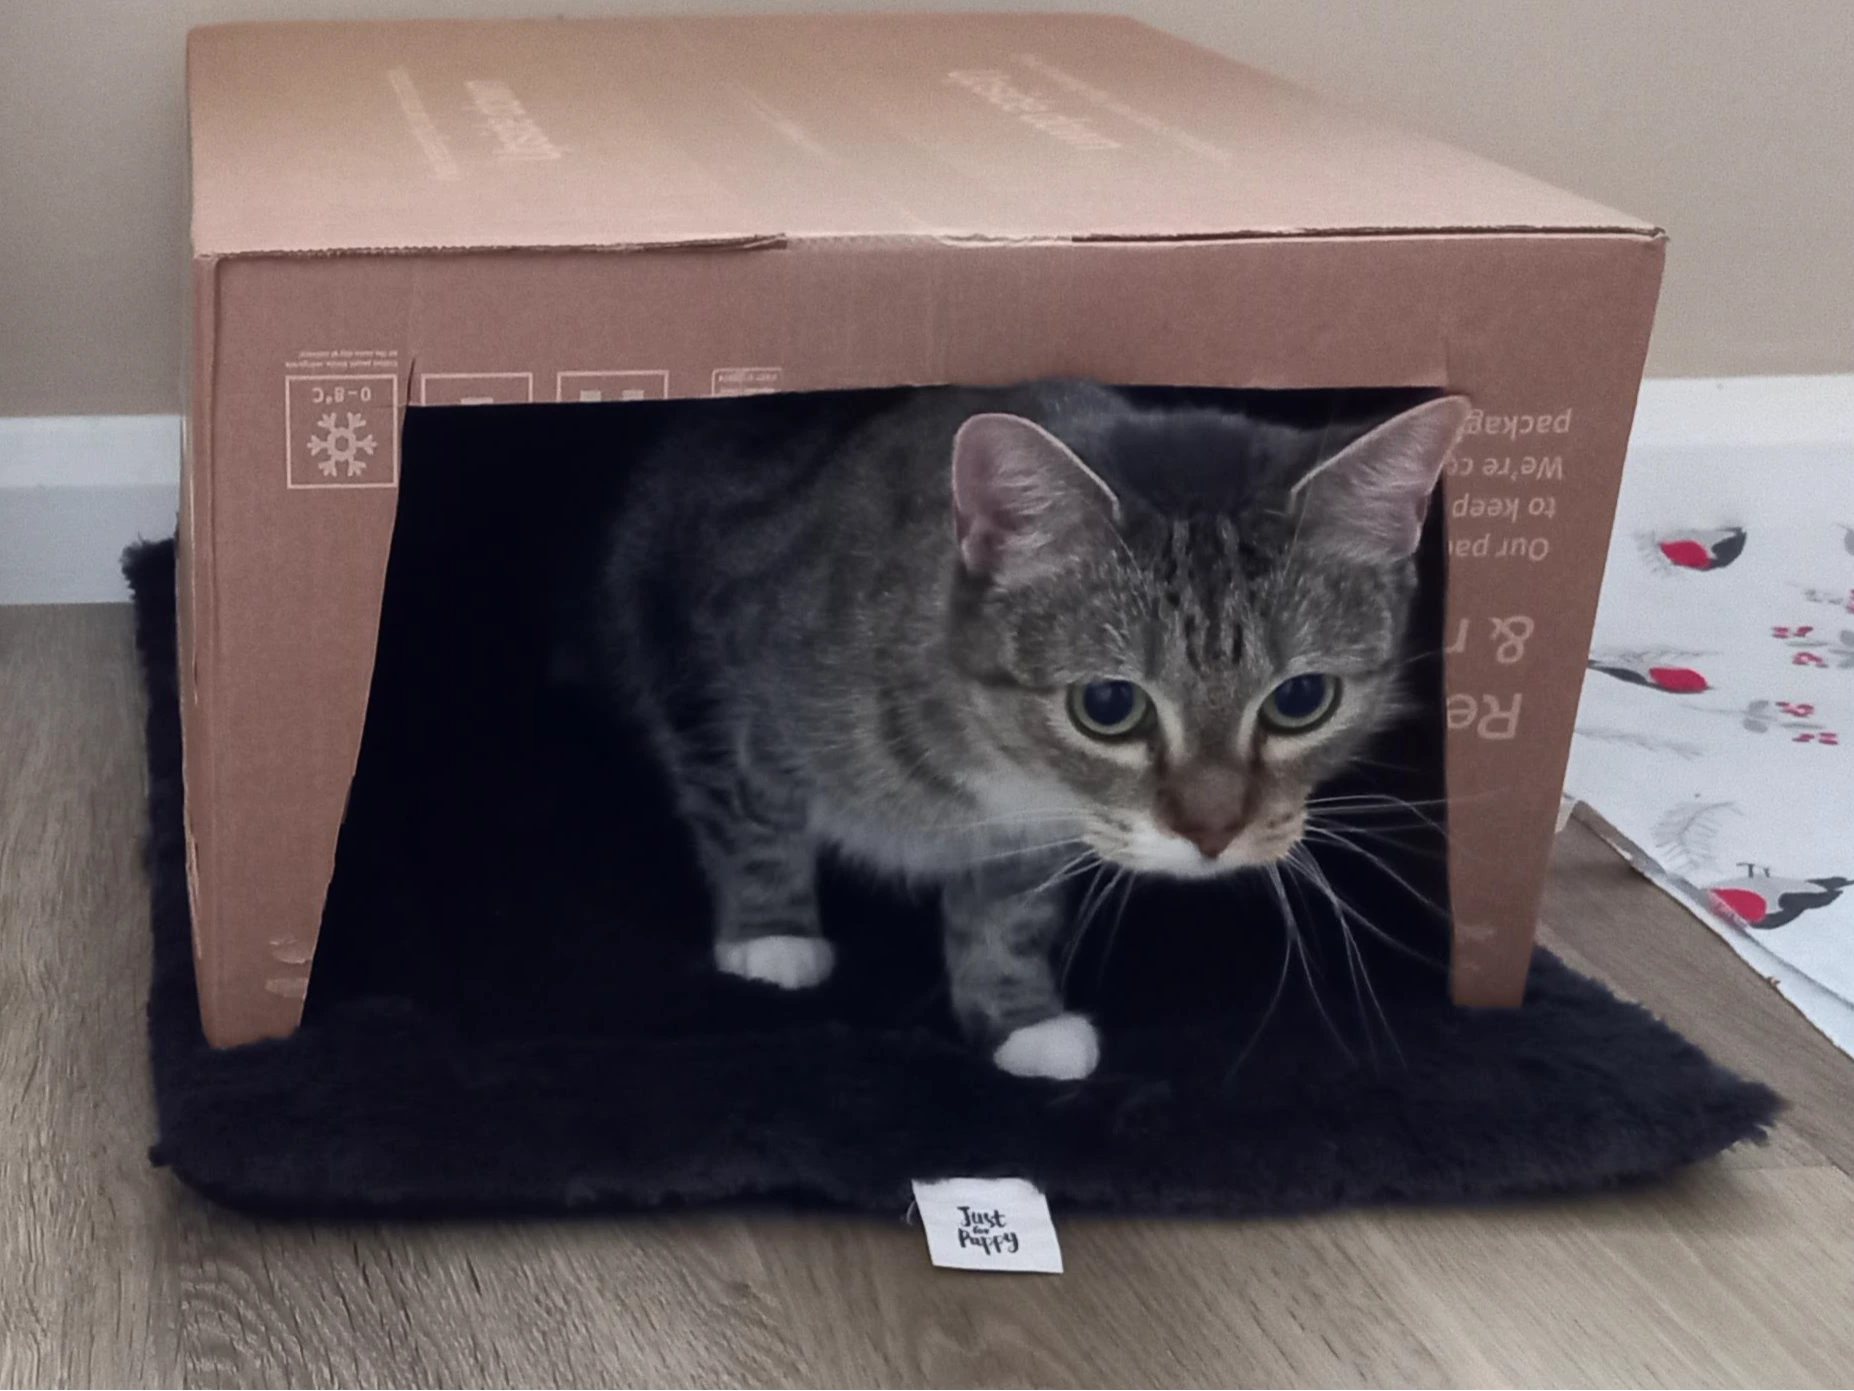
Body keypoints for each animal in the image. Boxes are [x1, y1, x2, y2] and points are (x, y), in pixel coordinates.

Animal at [600, 383, 1468, 1090]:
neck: (989, 760)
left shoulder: (1036, 831)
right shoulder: (700, 662)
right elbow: (748, 812)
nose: (1213, 831)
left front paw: (1021, 1016)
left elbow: (1008, 910)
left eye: (1301, 698)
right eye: (1109, 703)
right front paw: (770, 938)